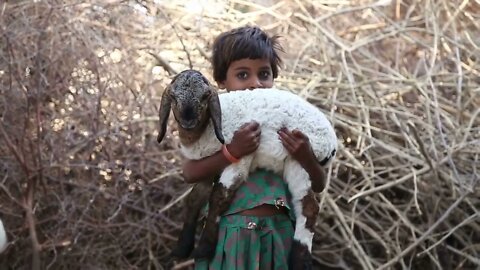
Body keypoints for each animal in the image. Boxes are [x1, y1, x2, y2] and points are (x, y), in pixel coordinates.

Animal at [158, 69, 338, 268]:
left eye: (205, 96)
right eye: (173, 96)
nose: (187, 121)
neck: (205, 130)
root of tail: (332, 143)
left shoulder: (241, 158)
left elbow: (219, 197)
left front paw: (204, 248)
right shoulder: (206, 167)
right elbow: (194, 199)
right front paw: (182, 247)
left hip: (301, 159)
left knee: (310, 208)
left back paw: (300, 261)